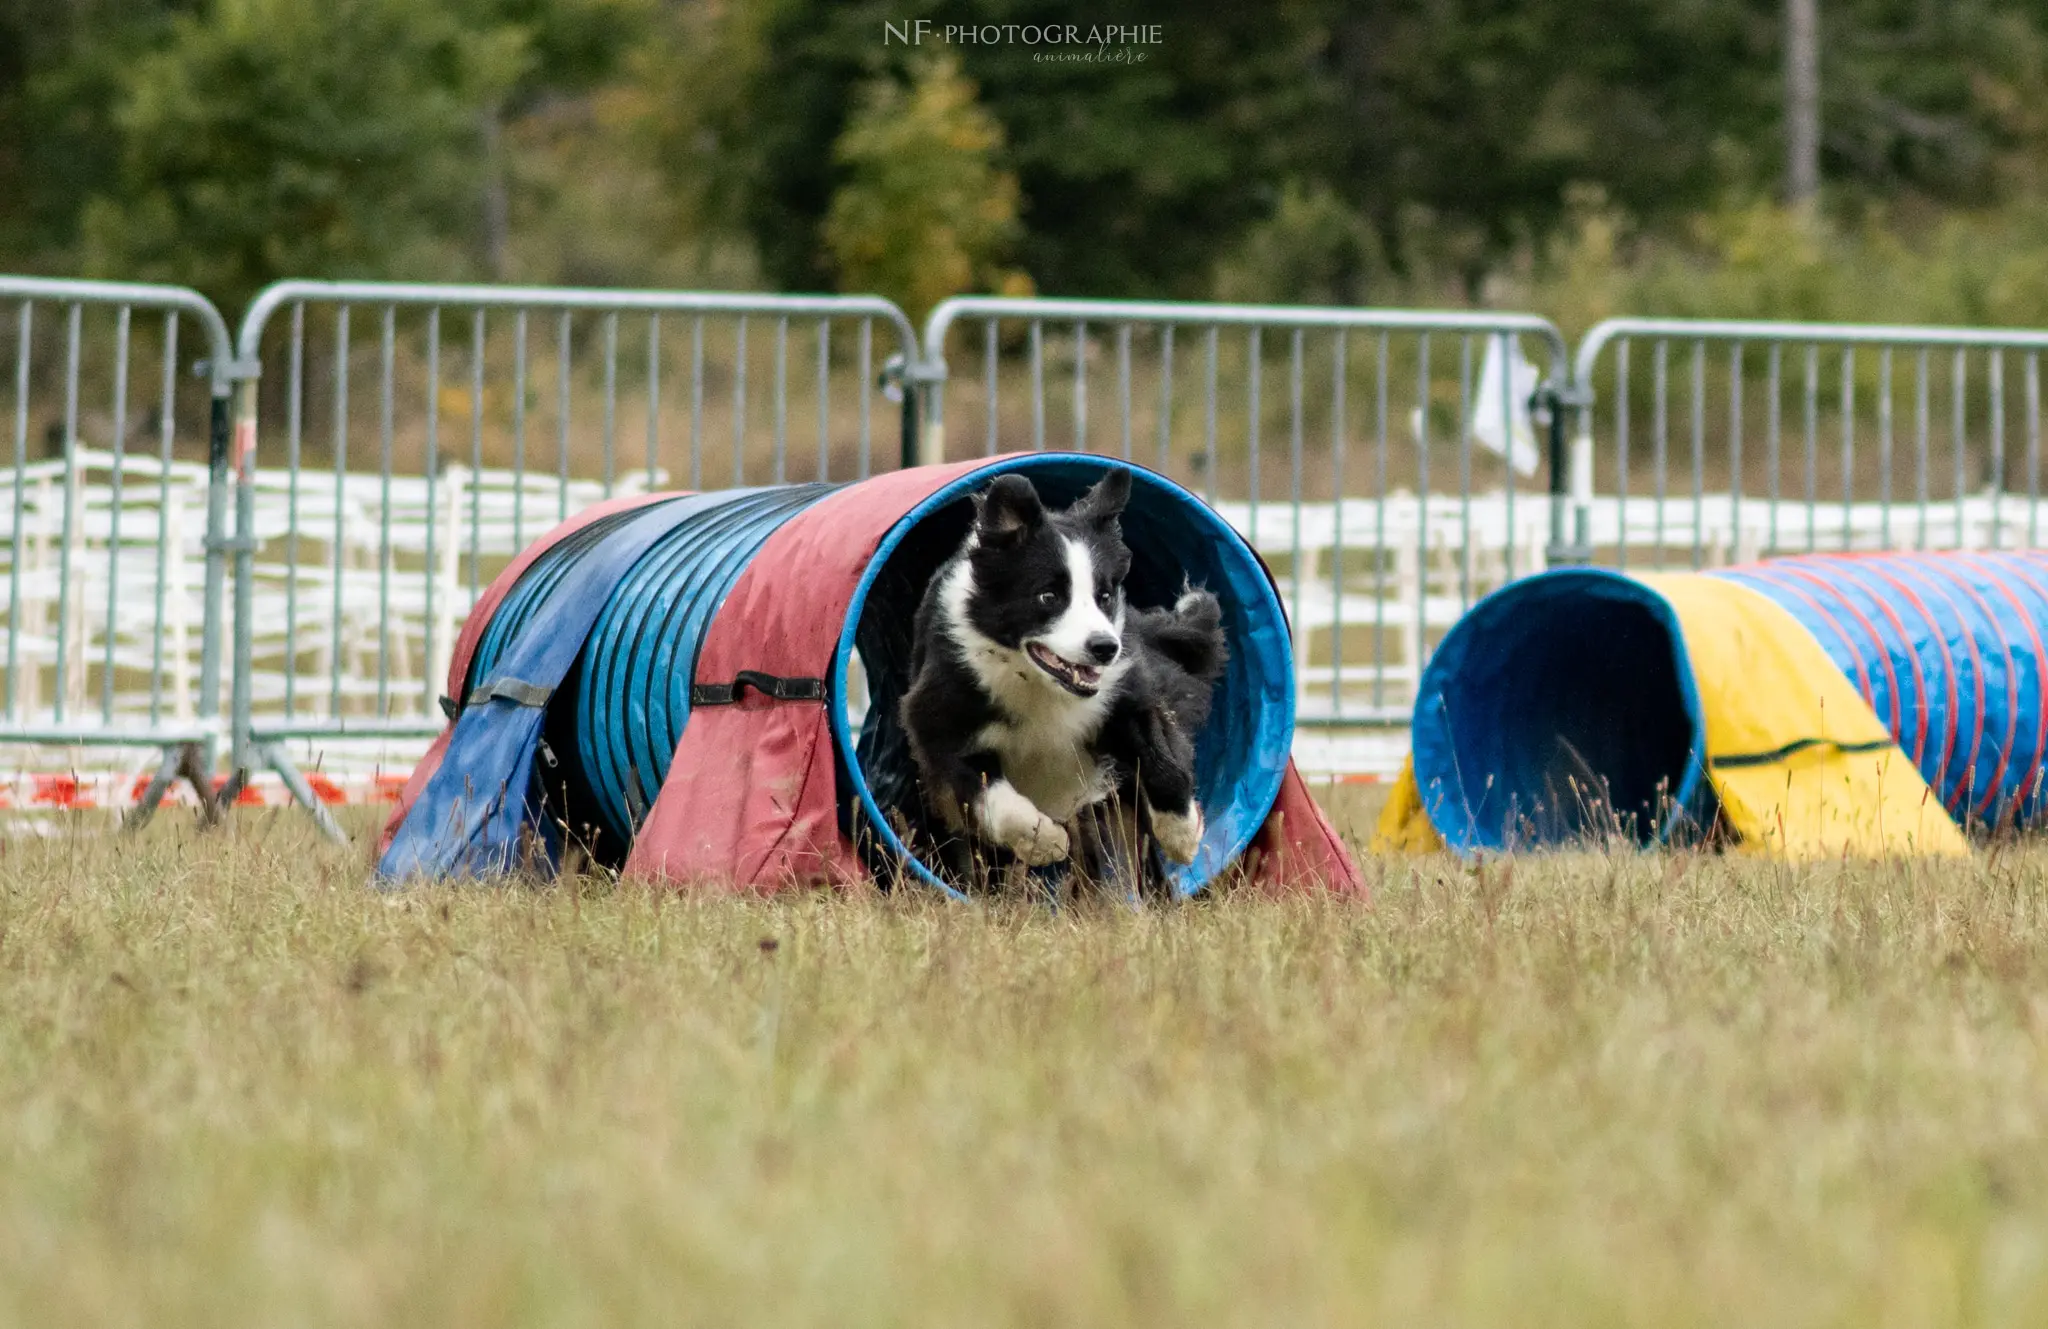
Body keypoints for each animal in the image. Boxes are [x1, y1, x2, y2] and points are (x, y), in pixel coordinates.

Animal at [901, 468, 1220, 892]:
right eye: (1048, 596)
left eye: (1104, 596)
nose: (1105, 647)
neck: (1039, 683)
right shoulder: (938, 723)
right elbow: (993, 796)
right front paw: (1045, 840)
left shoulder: (1122, 694)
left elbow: (1161, 759)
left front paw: (1182, 834)